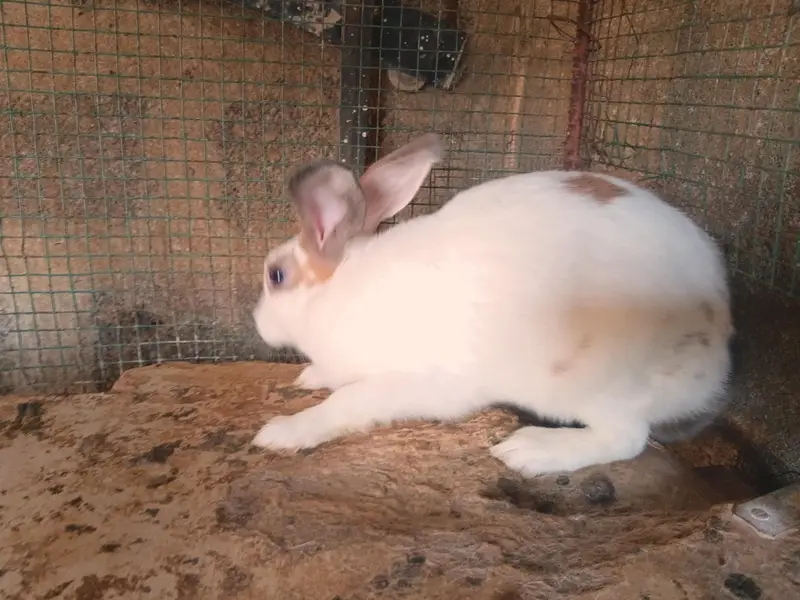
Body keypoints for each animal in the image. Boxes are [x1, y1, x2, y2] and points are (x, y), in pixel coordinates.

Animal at [250, 133, 733, 477]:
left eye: (275, 276)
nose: (256, 322)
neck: (341, 291)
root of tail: (714, 366)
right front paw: (308, 376)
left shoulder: (420, 384)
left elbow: (346, 403)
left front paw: (281, 433)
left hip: (598, 386)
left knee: (626, 438)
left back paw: (530, 450)